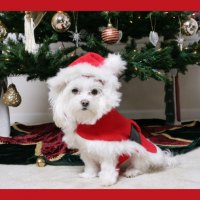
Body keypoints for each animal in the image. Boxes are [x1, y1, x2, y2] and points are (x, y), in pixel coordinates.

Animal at [47, 51, 176, 186]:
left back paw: (132, 171)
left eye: (94, 91)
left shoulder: (109, 149)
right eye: (74, 90)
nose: (85, 102)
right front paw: (89, 175)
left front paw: (107, 180)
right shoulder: (86, 149)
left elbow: (108, 166)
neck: (91, 122)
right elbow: (90, 164)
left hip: (139, 152)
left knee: (142, 166)